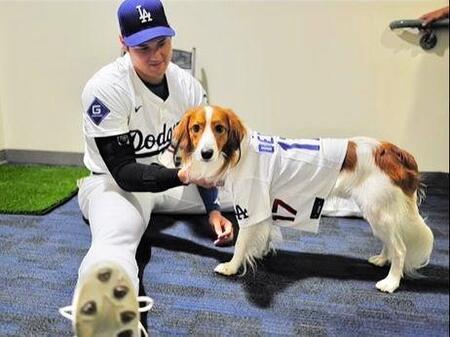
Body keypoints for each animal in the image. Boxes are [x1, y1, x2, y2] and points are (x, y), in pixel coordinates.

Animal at [171, 104, 432, 292]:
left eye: (219, 129)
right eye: (196, 128)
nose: (206, 153)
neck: (238, 154)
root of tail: (392, 150)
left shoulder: (250, 206)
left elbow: (241, 243)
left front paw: (232, 267)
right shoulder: (266, 207)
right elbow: (264, 234)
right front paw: (260, 253)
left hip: (378, 210)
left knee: (400, 248)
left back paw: (391, 282)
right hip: (377, 212)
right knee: (391, 242)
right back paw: (382, 259)